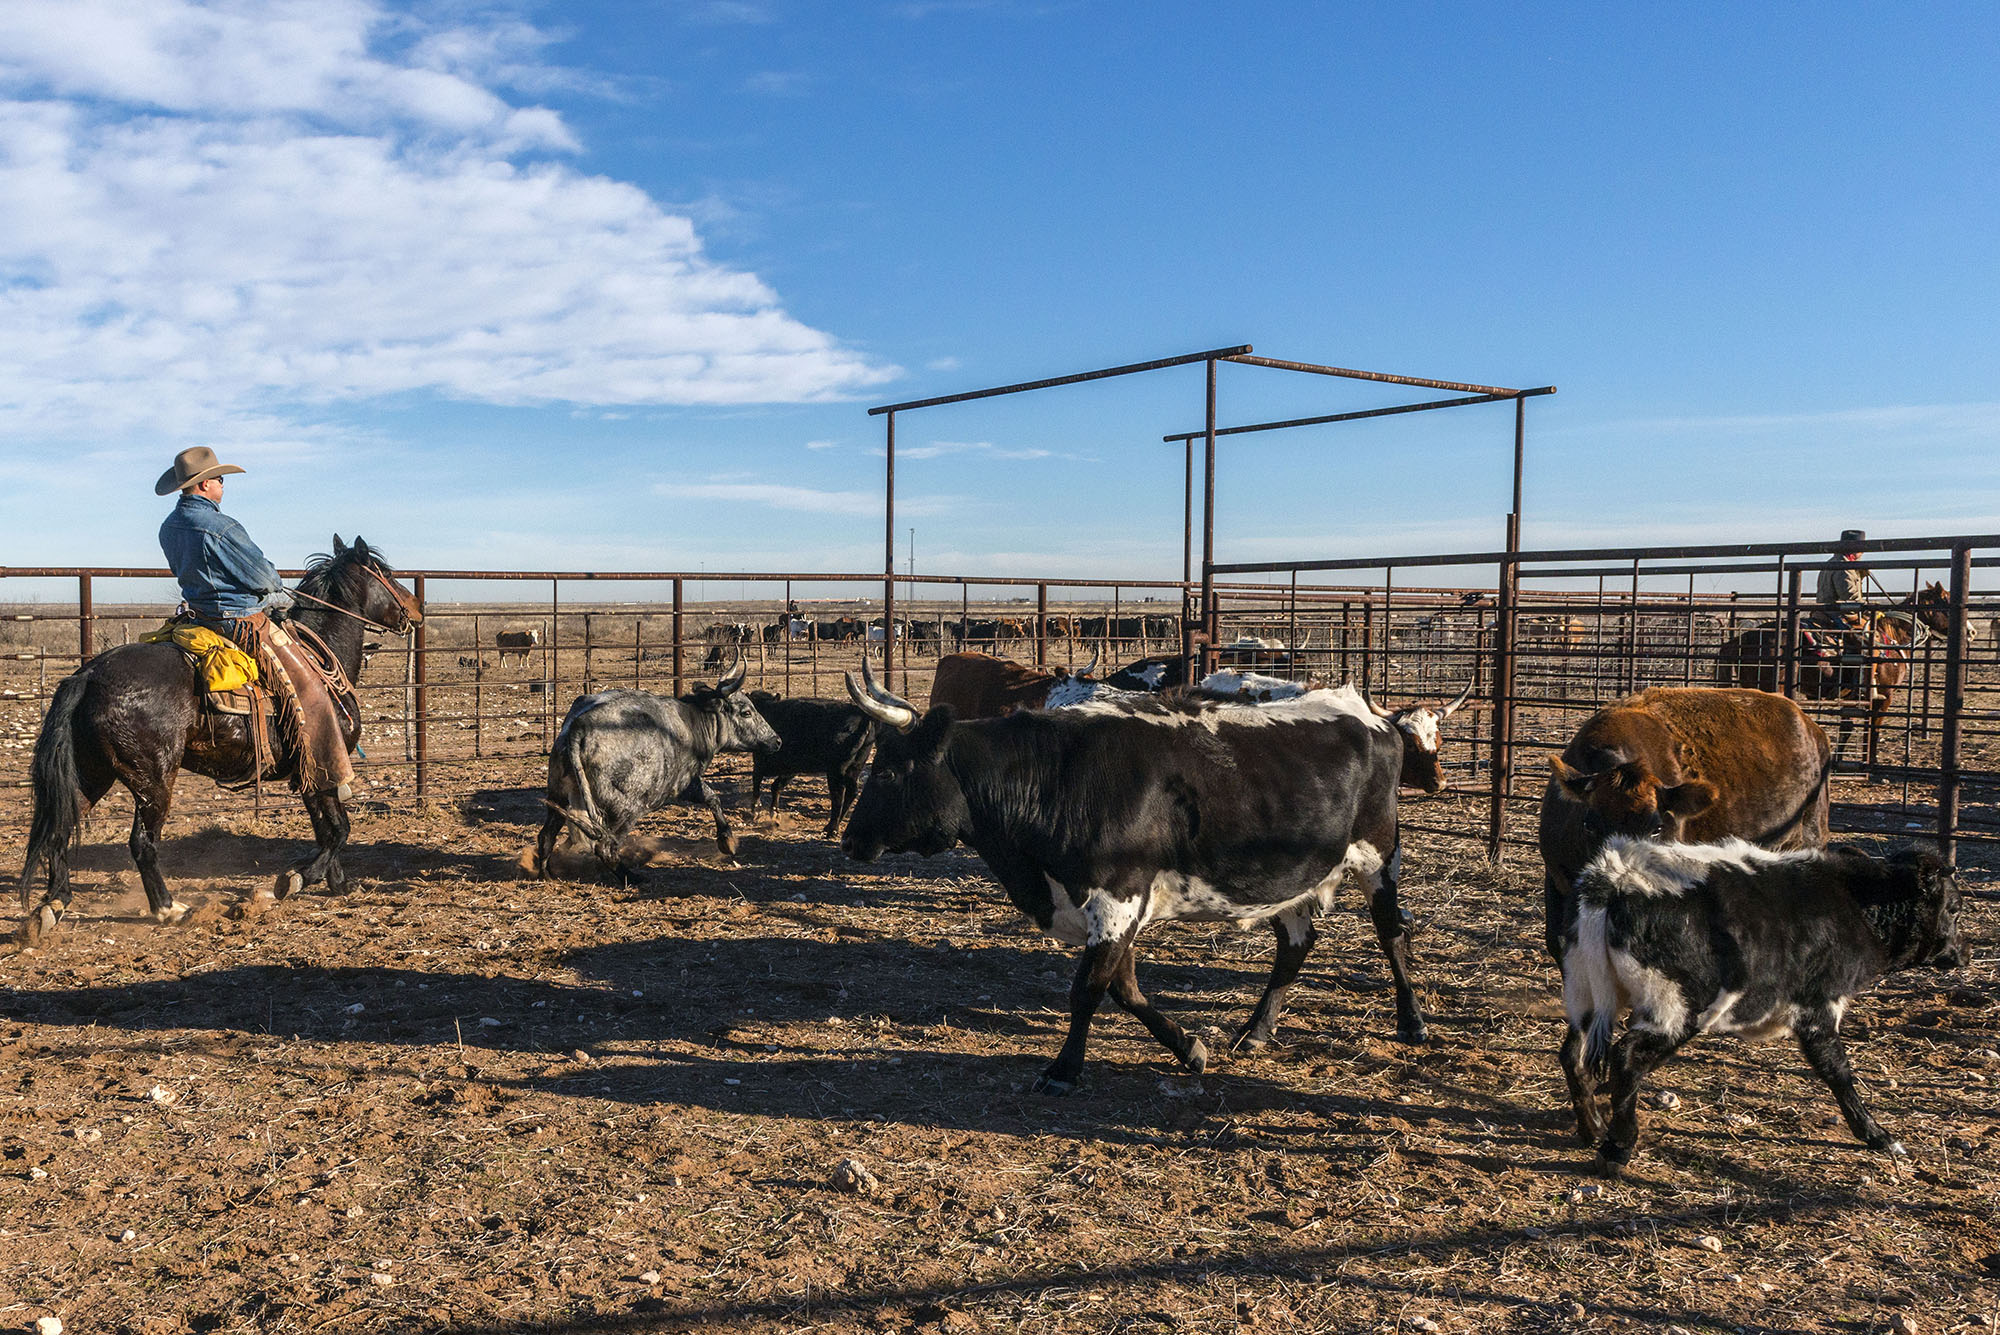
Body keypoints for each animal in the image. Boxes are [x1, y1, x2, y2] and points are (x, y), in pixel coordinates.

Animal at [15, 531, 424, 939]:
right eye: (387, 573)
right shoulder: (324, 762)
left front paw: (338, 884)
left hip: (92, 774)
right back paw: (169, 909)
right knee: (142, 842)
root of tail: (88, 676)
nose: (417, 606)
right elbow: (339, 830)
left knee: (59, 830)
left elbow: (328, 828)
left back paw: (53, 906)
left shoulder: (314, 772)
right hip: (153, 781)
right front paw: (294, 880)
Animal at [532, 655, 780, 875]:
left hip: (558, 797)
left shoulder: (688, 783)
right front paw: (726, 840)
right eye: (746, 712)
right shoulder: (683, 782)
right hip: (626, 810)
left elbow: (712, 798)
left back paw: (547, 874)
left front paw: (727, 840)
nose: (776, 740)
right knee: (606, 847)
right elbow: (711, 797)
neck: (691, 722)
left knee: (546, 837)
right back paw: (632, 877)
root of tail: (579, 727)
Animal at [1552, 839, 1960, 1175]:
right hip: (1674, 1007)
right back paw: (1617, 1148)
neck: (1854, 902)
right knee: (1627, 1057)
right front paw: (1878, 1135)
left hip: (1586, 993)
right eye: (1954, 908)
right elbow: (1836, 1071)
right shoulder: (1819, 1005)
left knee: (1574, 1053)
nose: (1965, 951)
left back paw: (1592, 1129)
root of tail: (1616, 877)